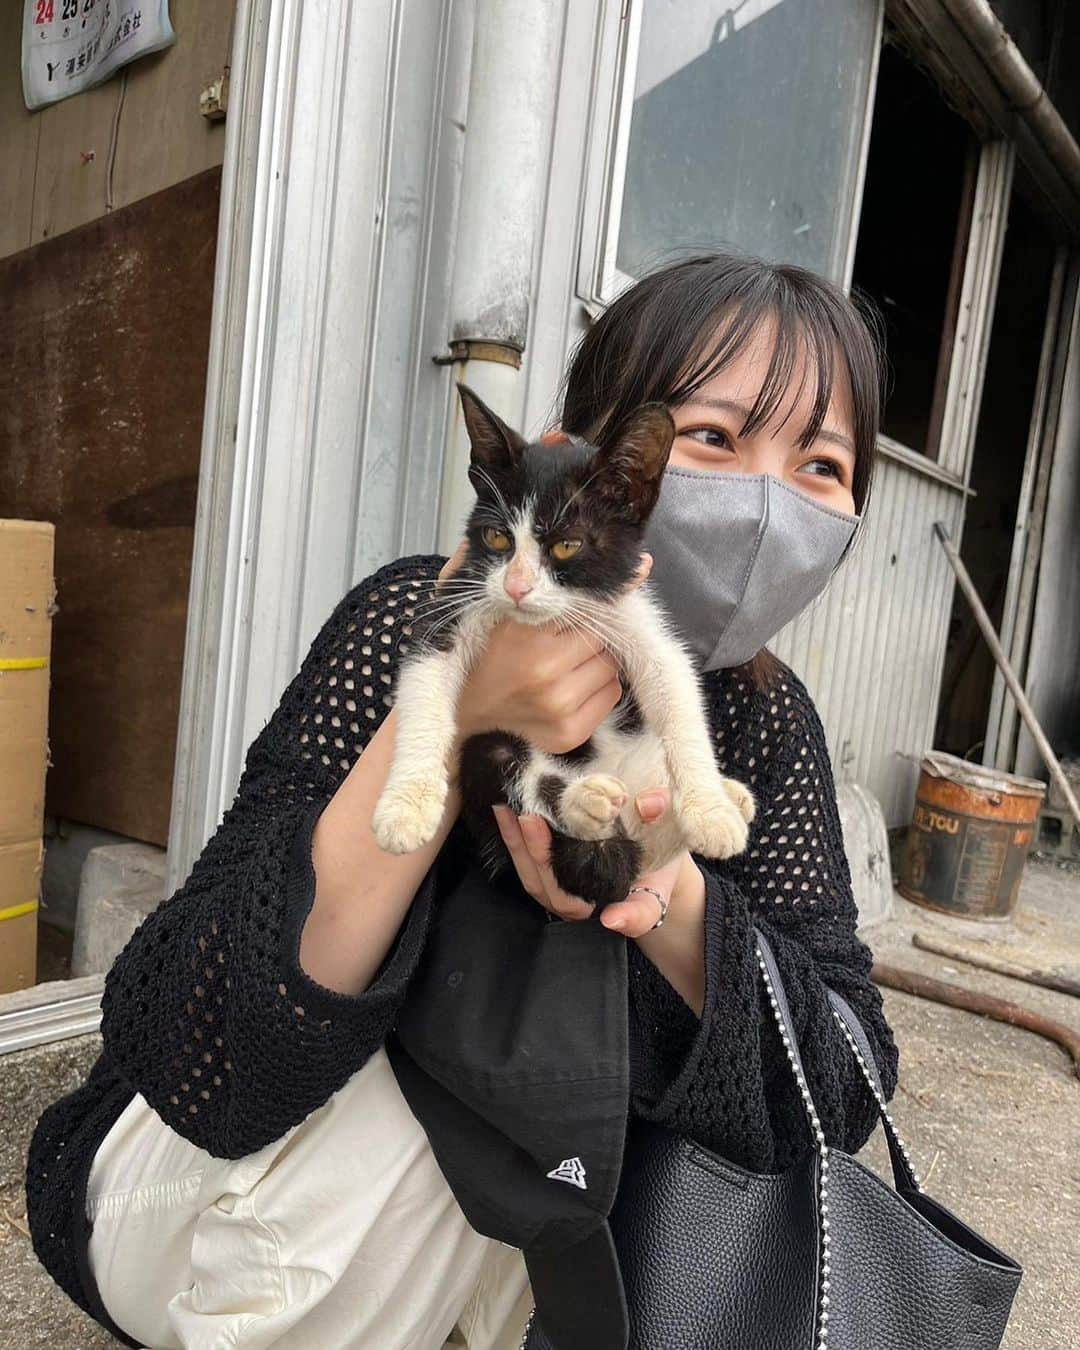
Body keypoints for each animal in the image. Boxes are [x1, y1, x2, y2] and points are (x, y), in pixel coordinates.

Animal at [375, 386, 756, 907]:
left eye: (567, 546)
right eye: (497, 537)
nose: (516, 587)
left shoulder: (629, 612)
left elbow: (675, 689)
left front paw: (710, 810)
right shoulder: (457, 599)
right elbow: (423, 690)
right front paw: (405, 807)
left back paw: (725, 799)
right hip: (496, 759)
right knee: (516, 774)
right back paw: (585, 801)